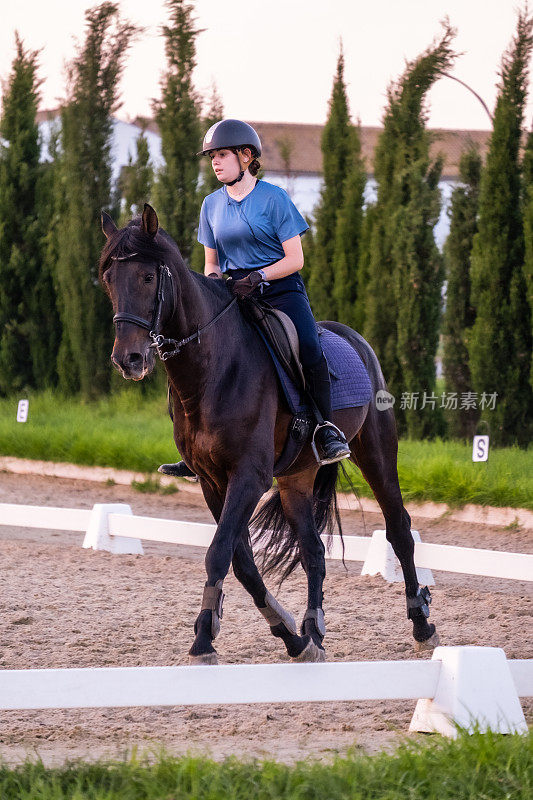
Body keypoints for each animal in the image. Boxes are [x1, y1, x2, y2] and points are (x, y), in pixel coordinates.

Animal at [98, 205, 436, 664]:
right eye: (109, 280)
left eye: (149, 277)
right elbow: (240, 561)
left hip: (377, 452)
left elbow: (219, 552)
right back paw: (314, 630)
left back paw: (422, 624)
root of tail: (355, 339)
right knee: (312, 550)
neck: (212, 370)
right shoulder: (212, 481)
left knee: (399, 529)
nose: (128, 360)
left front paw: (203, 642)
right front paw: (290, 636)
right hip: (297, 476)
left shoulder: (249, 476)